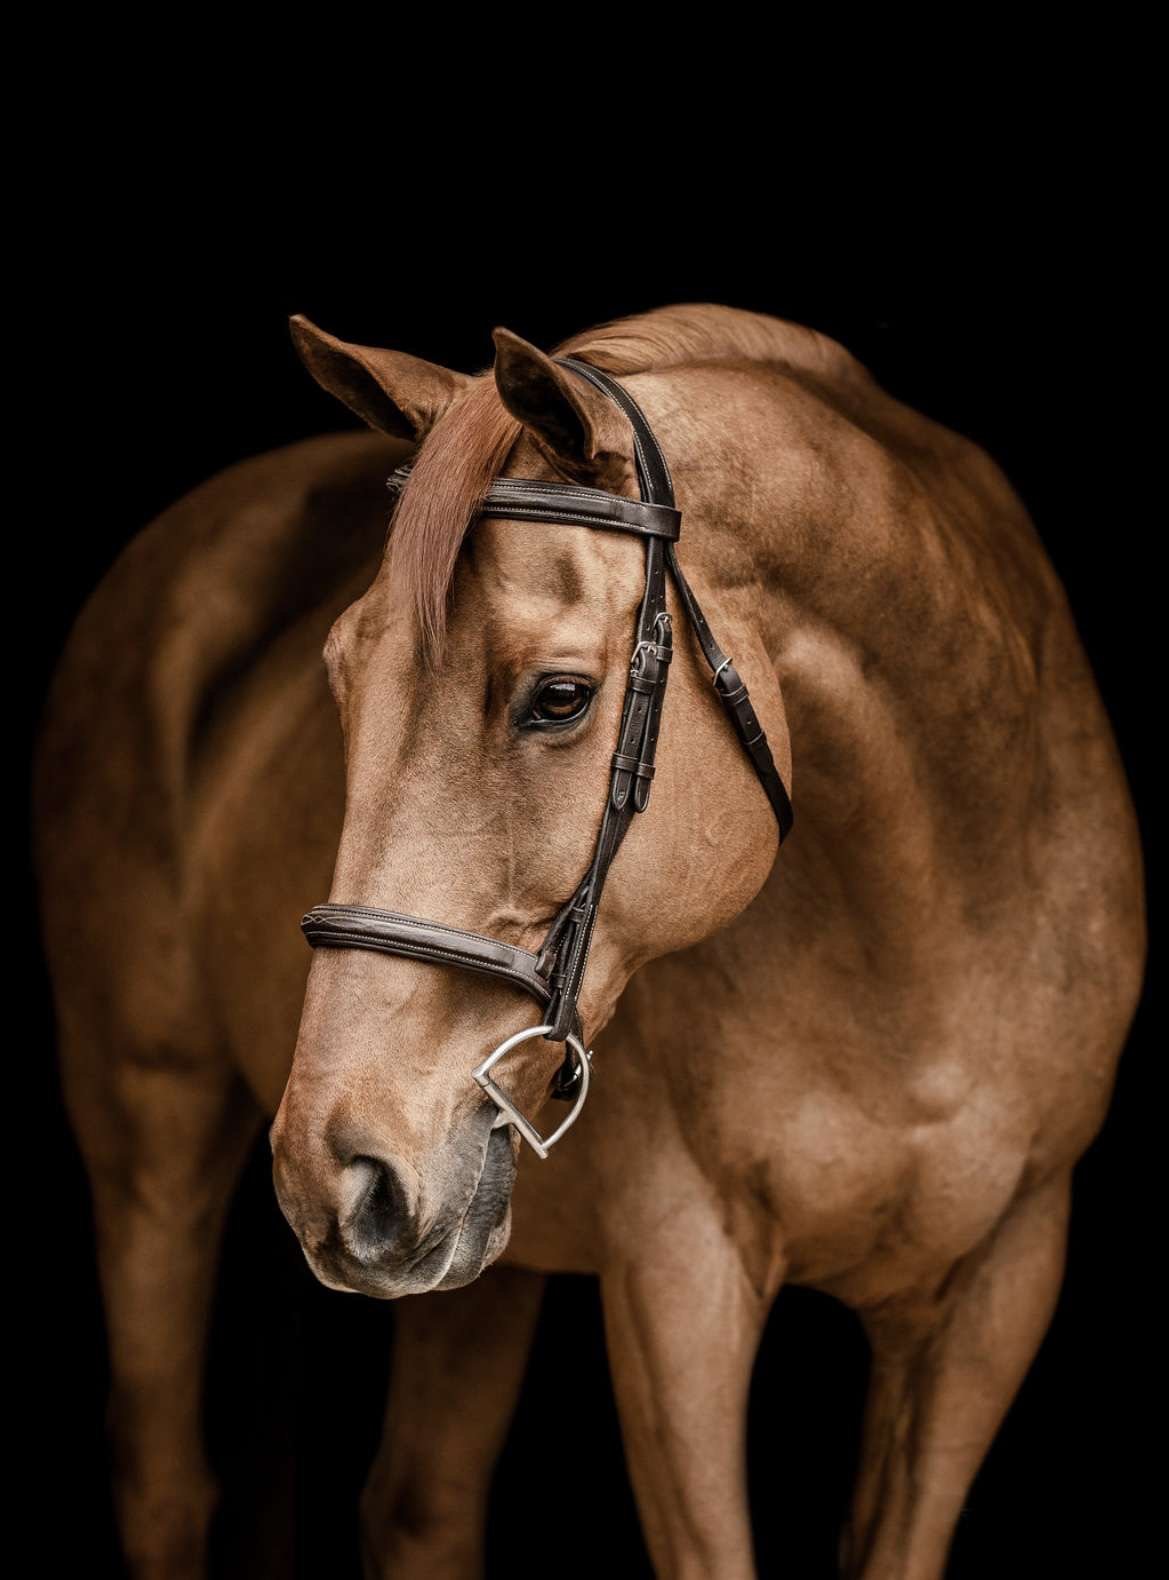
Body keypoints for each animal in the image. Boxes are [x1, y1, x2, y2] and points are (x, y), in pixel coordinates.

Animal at [32, 303, 1145, 1579]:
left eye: (559, 696)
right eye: (338, 674)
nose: (331, 1166)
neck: (917, 960)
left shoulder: (994, 1291)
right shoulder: (678, 1284)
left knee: (419, 1502)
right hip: (150, 1135)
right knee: (163, 1478)